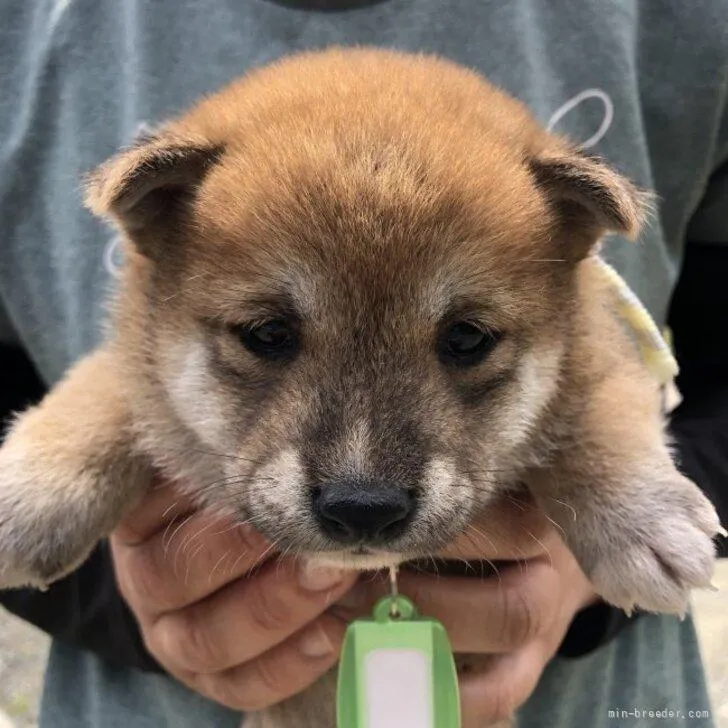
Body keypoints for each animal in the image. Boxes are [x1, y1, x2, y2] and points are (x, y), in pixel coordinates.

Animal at [0, 48, 720, 724]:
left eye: (466, 338)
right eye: (267, 333)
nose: (363, 507)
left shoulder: (598, 356)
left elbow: (600, 416)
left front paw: (641, 519)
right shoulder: (134, 362)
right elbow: (100, 391)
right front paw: (28, 495)